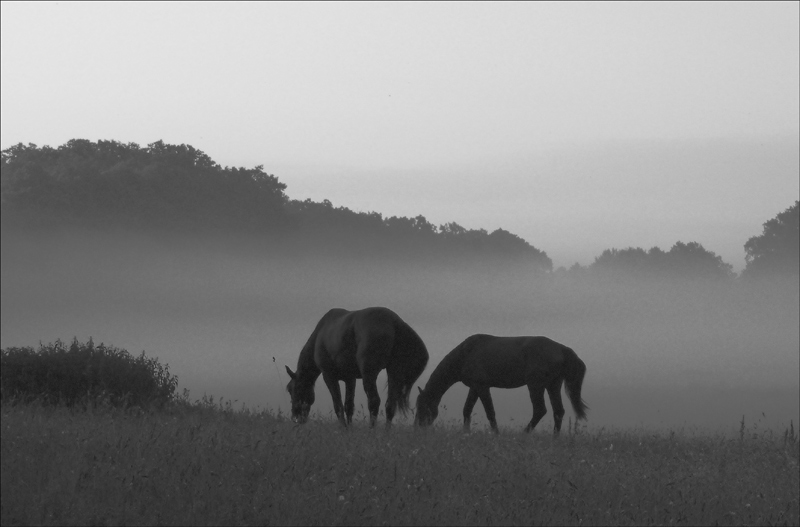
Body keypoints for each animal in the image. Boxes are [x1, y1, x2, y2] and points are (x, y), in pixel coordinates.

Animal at [284, 308, 428, 426]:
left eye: (292, 389)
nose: (295, 417)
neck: (321, 333)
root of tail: (394, 321)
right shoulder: (350, 379)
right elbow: (348, 406)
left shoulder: (329, 376)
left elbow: (338, 406)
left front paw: (343, 429)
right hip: (393, 373)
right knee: (390, 405)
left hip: (369, 375)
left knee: (374, 402)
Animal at [416, 336, 584, 436]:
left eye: (422, 406)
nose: (417, 427)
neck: (466, 353)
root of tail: (562, 349)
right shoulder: (474, 387)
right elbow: (467, 410)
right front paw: (466, 432)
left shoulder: (482, 387)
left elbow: (490, 412)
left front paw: (496, 434)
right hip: (552, 385)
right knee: (558, 411)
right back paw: (555, 438)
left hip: (535, 386)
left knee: (540, 410)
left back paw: (524, 434)